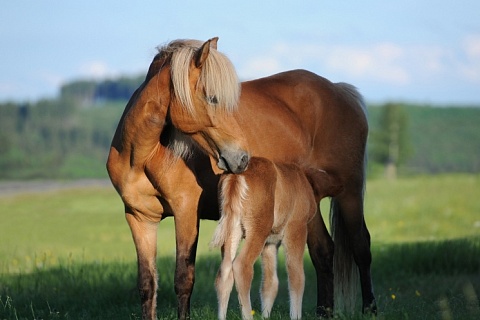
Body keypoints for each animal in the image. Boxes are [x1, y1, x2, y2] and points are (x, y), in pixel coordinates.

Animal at [212, 158, 344, 320]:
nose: (341, 184)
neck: (303, 180)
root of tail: (235, 176)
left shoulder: (270, 244)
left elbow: (270, 284)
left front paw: (265, 316)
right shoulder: (296, 229)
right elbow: (297, 276)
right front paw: (295, 315)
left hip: (232, 230)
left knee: (224, 272)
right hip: (258, 231)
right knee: (241, 266)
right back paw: (248, 315)